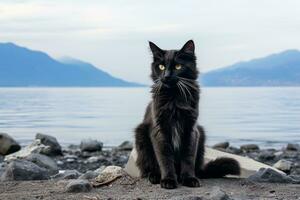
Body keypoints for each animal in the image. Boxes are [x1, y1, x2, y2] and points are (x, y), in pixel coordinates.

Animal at [135, 39, 240, 188]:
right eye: (161, 67)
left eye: (178, 66)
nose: (166, 76)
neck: (174, 98)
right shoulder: (159, 130)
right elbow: (165, 158)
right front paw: (168, 180)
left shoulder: (191, 130)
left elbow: (188, 157)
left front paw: (189, 178)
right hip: (141, 134)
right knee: (147, 168)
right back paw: (154, 176)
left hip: (201, 134)